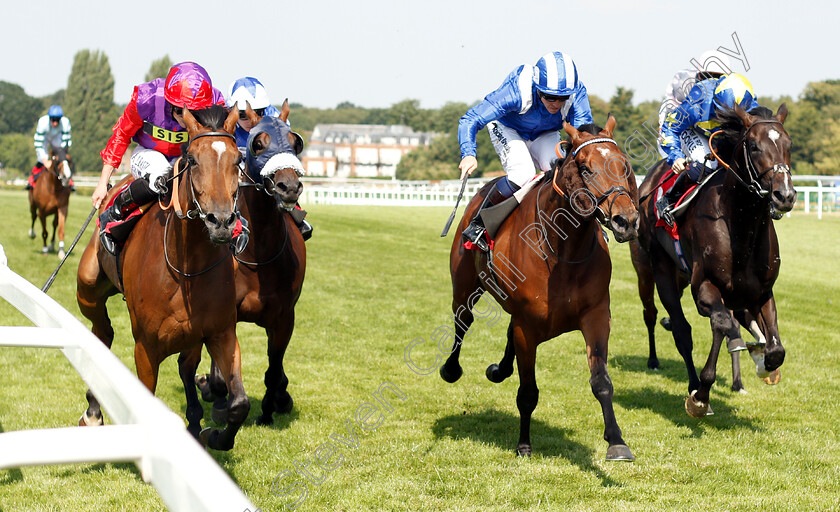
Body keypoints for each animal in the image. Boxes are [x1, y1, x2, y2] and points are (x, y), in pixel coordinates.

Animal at [76, 106, 249, 450]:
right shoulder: (146, 346)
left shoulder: (220, 332)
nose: (222, 222)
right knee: (102, 330)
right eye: (193, 160)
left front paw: (213, 434)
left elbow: (239, 403)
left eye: (237, 160)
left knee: (185, 367)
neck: (186, 270)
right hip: (87, 288)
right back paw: (93, 410)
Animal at [194, 102, 308, 426]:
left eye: (296, 142)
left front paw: (269, 410)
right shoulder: (223, 316)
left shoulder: (284, 318)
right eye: (258, 144)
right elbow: (221, 375)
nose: (288, 186)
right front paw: (218, 400)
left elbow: (273, 370)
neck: (260, 257)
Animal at [442, 116, 640, 460]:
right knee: (462, 321)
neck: (563, 251)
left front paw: (617, 441)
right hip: (465, 285)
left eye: (625, 165)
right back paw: (451, 369)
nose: (626, 220)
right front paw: (524, 444)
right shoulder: (528, 327)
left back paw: (498, 369)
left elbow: (601, 381)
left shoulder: (596, 315)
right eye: (586, 168)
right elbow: (527, 392)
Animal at [632, 103, 796, 416]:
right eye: (753, 145)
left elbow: (776, 349)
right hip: (656, 269)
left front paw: (763, 363)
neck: (740, 226)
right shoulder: (705, 287)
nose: (785, 195)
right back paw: (677, 374)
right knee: (675, 326)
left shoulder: (761, 293)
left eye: (788, 144)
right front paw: (701, 394)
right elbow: (720, 324)